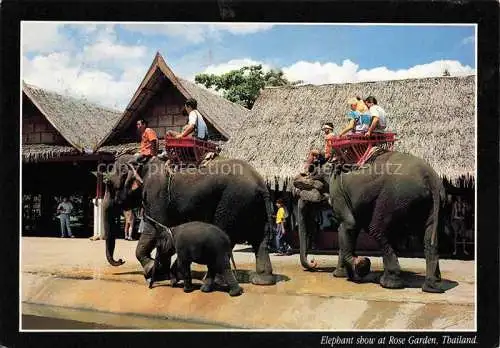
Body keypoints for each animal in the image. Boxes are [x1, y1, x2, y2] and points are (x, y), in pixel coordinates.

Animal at [100, 156, 274, 286]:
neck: (141, 162)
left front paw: (150, 271)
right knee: (260, 238)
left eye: (108, 184)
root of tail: (261, 184)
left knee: (225, 234)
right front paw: (161, 274)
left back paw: (212, 281)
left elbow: (153, 230)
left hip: (233, 201)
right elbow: (164, 234)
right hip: (253, 206)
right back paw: (262, 280)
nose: (120, 260)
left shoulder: (155, 196)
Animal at [296, 151, 446, 292]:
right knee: (429, 237)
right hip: (429, 201)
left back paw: (389, 284)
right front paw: (344, 274)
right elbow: (351, 229)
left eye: (305, 188)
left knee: (377, 230)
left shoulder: (338, 192)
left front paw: (361, 265)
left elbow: (348, 225)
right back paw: (432, 287)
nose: (313, 262)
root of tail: (431, 178)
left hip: (395, 196)